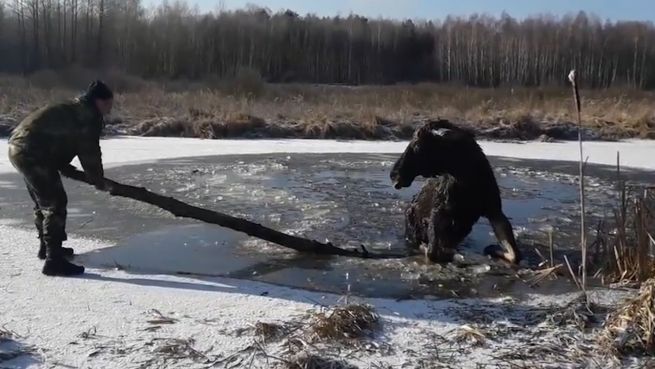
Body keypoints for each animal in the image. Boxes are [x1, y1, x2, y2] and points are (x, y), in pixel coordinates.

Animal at [390, 121, 524, 264]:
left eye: (417, 146)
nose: (393, 175)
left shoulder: (494, 210)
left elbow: (515, 254)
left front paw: (491, 248)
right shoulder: (440, 212)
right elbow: (433, 252)